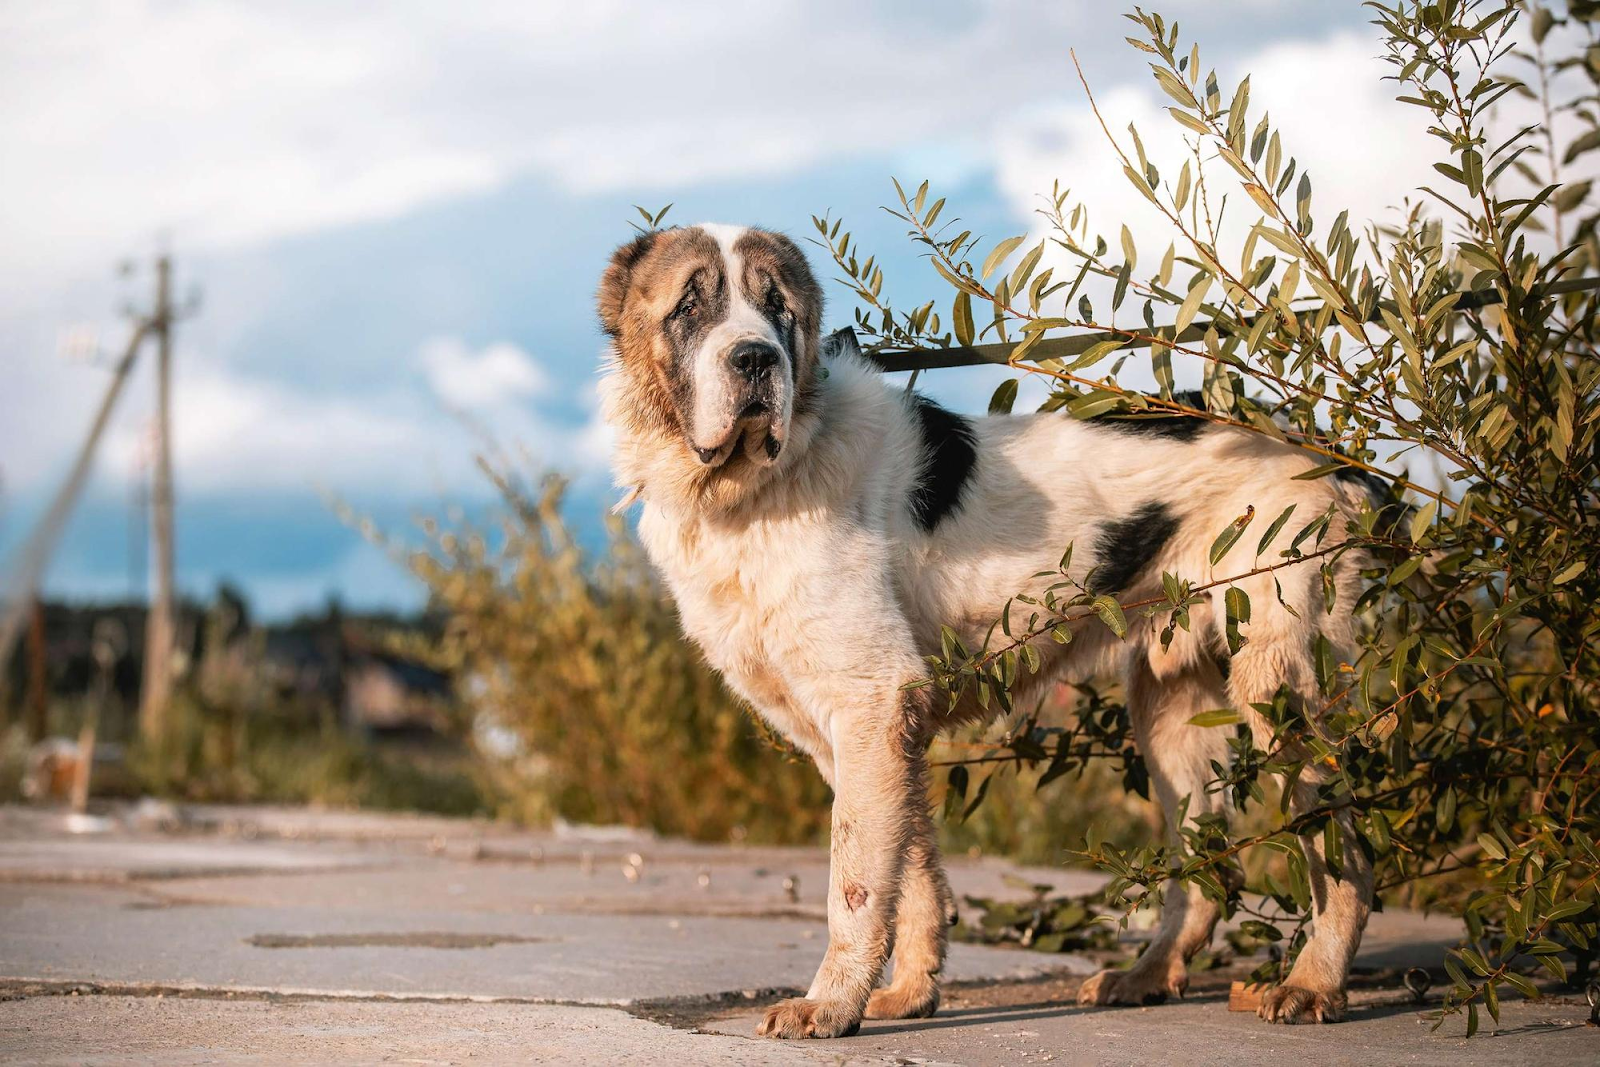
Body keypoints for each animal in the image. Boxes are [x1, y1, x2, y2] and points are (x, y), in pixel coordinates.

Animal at [598, 223, 1376, 1036]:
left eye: (778, 307)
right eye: (690, 305)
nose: (754, 358)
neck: (756, 486)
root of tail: (1326, 454)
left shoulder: (873, 703)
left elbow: (856, 881)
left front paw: (829, 1004)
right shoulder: (871, 729)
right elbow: (909, 869)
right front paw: (910, 992)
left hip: (1276, 689)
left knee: (1345, 852)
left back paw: (1313, 984)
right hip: (1168, 710)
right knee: (1208, 865)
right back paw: (1147, 975)